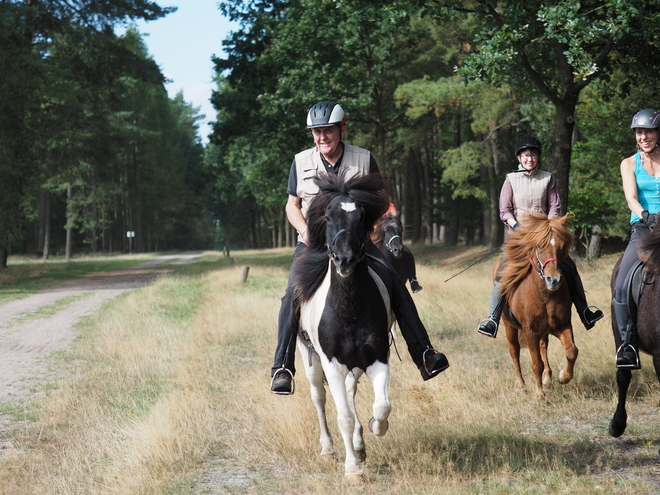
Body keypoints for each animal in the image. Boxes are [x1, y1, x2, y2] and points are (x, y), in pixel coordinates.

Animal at [292, 174, 392, 480]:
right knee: (320, 398)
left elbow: (382, 406)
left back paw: (359, 443)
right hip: (310, 361)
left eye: (361, 217)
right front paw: (353, 470)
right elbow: (344, 417)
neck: (349, 310)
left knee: (350, 392)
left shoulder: (378, 359)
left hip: (355, 365)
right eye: (328, 216)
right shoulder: (331, 364)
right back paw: (328, 449)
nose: (345, 260)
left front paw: (373, 429)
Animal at [500, 215, 576, 402]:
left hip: (544, 330)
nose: (554, 280)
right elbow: (536, 364)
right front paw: (539, 394)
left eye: (562, 246)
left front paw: (563, 376)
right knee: (514, 351)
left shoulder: (563, 325)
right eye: (540, 246)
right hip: (509, 326)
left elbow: (571, 351)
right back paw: (521, 385)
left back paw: (547, 380)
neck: (544, 295)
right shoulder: (530, 331)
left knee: (543, 346)